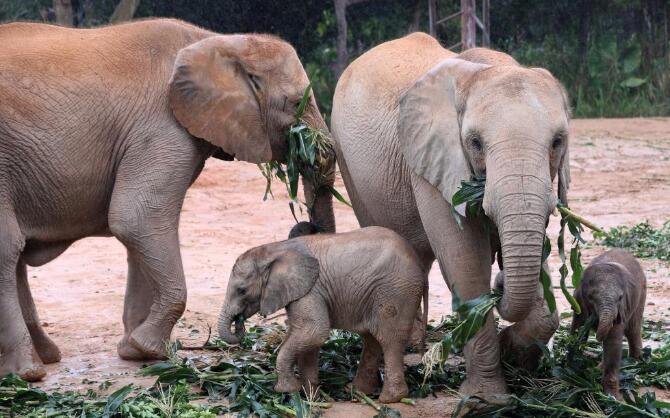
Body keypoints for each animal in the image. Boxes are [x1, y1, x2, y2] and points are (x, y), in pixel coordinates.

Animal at [0, 18, 336, 380]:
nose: (304, 224)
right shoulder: (162, 126)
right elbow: (137, 218)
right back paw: (28, 372)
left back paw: (42, 358)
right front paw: (150, 349)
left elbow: (138, 229)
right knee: (8, 249)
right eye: (295, 103)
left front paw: (133, 351)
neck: (218, 41)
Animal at [220, 227, 430, 404]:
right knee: (372, 338)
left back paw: (389, 399)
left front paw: (287, 390)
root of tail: (420, 265)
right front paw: (310, 396)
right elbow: (305, 337)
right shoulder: (303, 292)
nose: (240, 322)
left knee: (389, 339)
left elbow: (314, 331)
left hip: (396, 291)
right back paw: (357, 392)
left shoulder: (310, 290)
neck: (274, 249)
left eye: (242, 290)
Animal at [332, 31, 572, 396]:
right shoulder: (432, 160)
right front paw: (487, 399)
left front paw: (513, 355)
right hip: (347, 161)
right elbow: (465, 262)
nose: (501, 282)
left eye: (558, 141)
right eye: (474, 143)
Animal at [572, 248, 652, 398]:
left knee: (633, 329)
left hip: (642, 294)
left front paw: (613, 398)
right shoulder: (578, 302)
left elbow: (613, 342)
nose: (597, 336)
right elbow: (577, 328)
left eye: (620, 297)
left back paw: (636, 361)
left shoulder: (622, 307)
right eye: (590, 297)